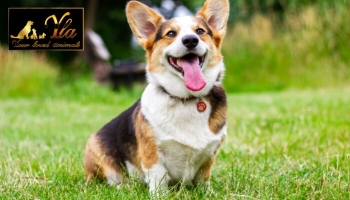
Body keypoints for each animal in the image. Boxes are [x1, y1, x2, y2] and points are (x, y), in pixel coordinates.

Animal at [83, 0, 228, 195]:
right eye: (171, 33)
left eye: (200, 31)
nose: (190, 40)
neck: (186, 98)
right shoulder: (153, 154)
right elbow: (159, 179)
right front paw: (160, 195)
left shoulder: (209, 156)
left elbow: (203, 179)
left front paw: (207, 193)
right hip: (97, 153)